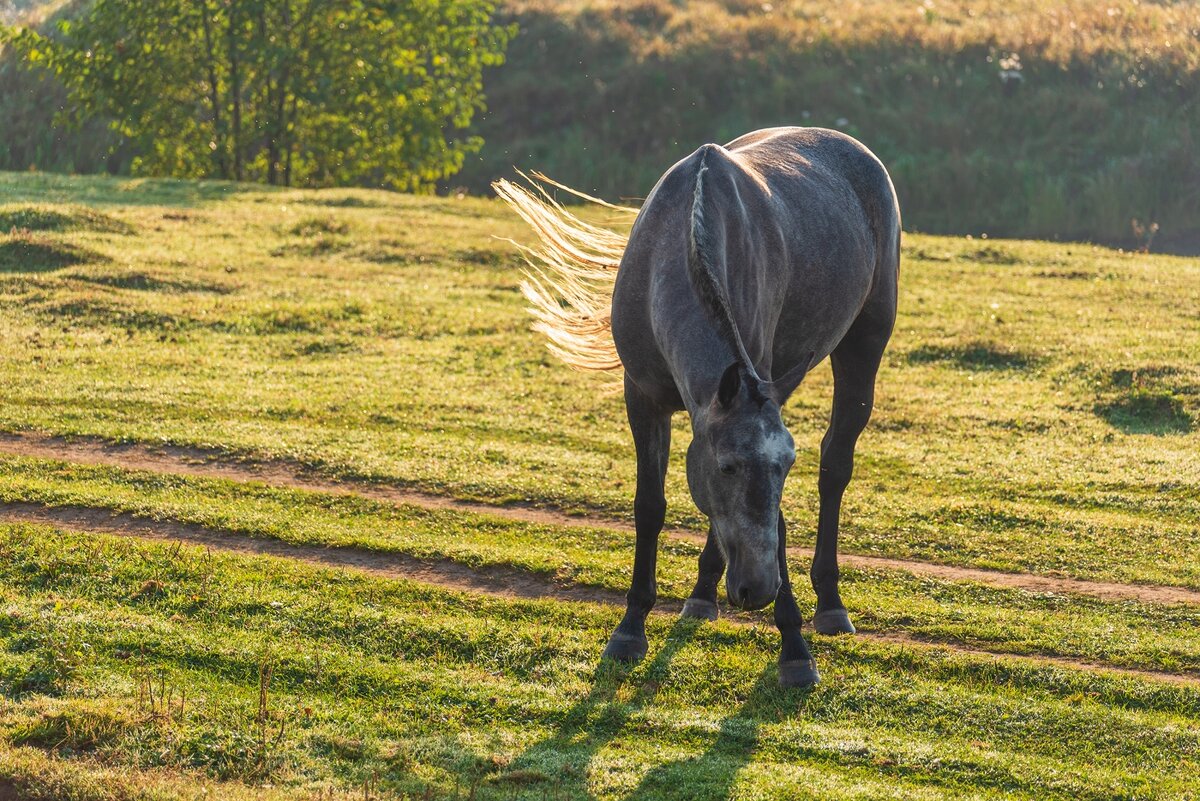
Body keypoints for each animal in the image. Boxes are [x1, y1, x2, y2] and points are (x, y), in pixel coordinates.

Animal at [492, 126, 897, 690]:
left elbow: (779, 521)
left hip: (865, 344)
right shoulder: (644, 399)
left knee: (835, 466)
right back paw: (704, 593)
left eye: (785, 467)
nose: (758, 589)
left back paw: (830, 602)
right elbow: (650, 507)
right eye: (727, 467)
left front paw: (794, 647)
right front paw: (630, 628)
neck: (678, 246)